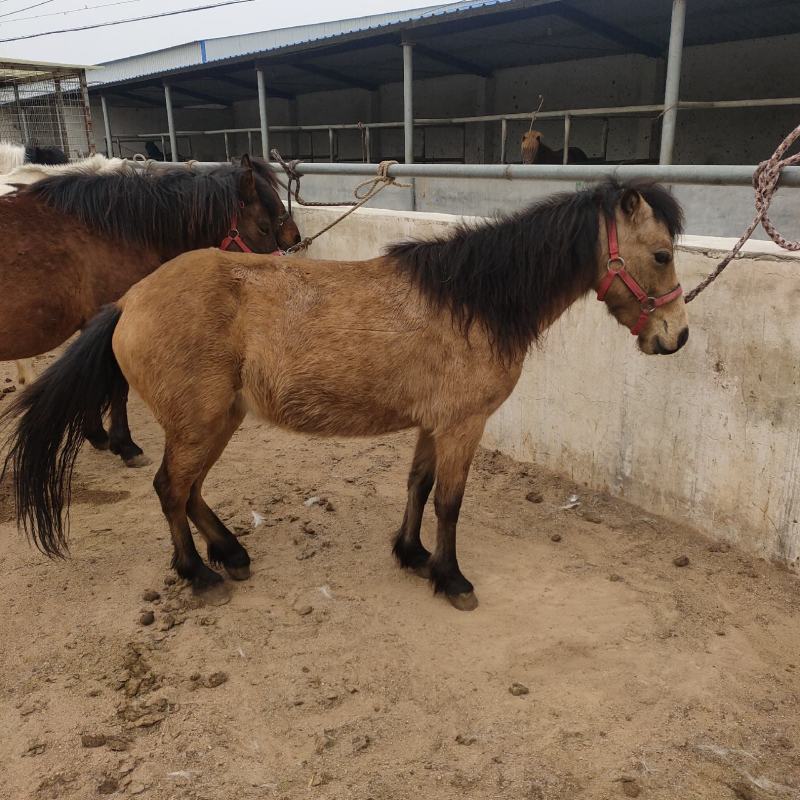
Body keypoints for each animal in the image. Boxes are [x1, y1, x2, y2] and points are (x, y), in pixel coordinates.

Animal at [0, 154, 301, 467]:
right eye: (263, 226)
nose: (294, 237)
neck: (111, 231)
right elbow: (116, 387)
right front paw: (125, 445)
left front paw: (98, 435)